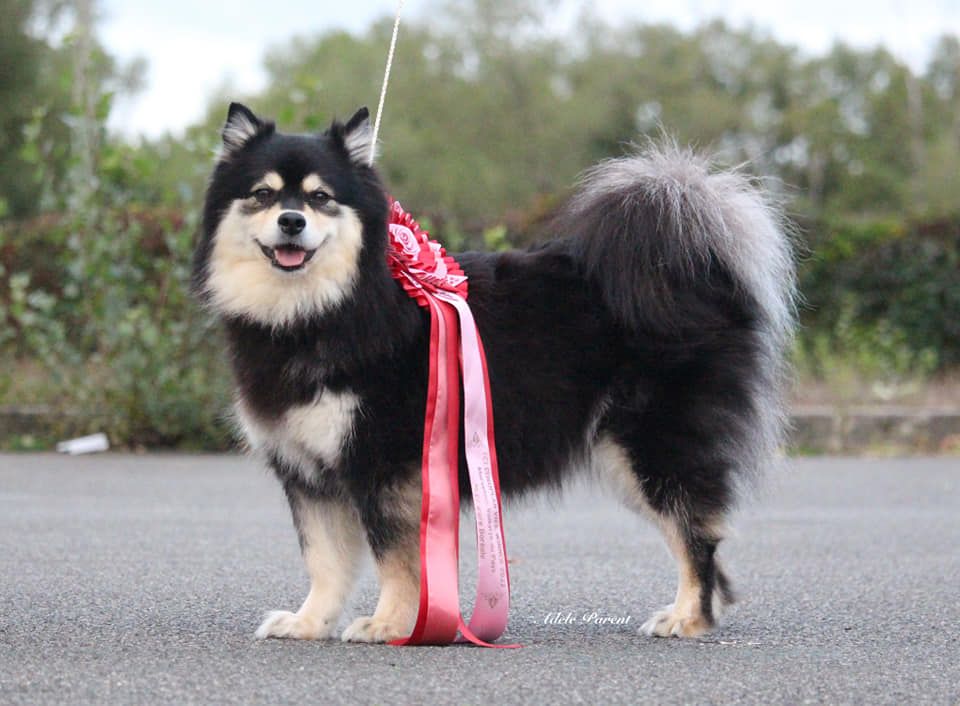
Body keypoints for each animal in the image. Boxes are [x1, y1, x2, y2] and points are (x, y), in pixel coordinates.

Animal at [192, 102, 795, 643]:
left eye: (320, 198)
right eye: (264, 195)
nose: (292, 221)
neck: (325, 311)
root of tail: (695, 274)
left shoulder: (389, 465)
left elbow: (395, 559)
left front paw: (390, 624)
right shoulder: (308, 474)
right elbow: (324, 560)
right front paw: (308, 622)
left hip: (650, 450)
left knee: (696, 534)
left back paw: (689, 618)